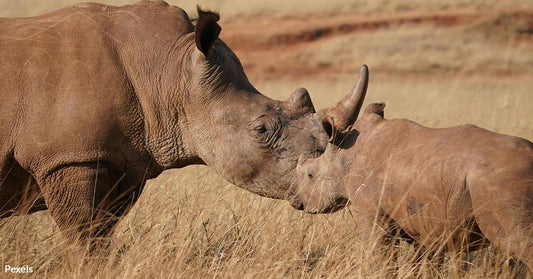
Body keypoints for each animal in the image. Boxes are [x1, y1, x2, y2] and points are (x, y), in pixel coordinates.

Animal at [290, 87, 532, 272]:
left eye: (310, 175)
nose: (296, 203)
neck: (345, 155)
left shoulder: (371, 214)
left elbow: (380, 259)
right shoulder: (427, 224)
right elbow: (423, 265)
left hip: (499, 182)